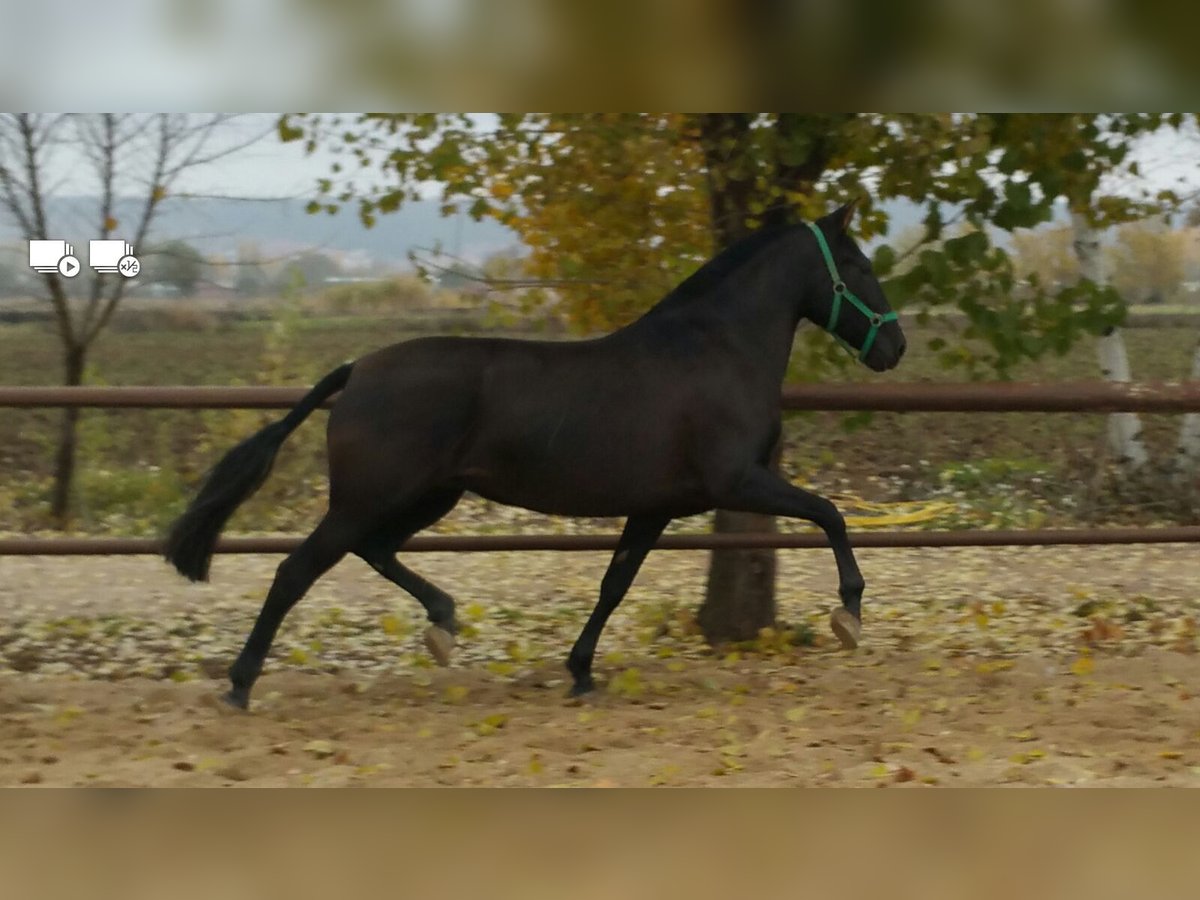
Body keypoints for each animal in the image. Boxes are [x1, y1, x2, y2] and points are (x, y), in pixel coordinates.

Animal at [164, 199, 902, 710]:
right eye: (861, 266)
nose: (895, 348)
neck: (714, 351)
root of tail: (358, 369)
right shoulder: (737, 482)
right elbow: (830, 513)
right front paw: (849, 614)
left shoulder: (655, 507)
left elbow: (614, 584)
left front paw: (580, 671)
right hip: (370, 497)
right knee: (297, 571)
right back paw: (239, 686)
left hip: (428, 496)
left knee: (376, 549)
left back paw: (442, 624)